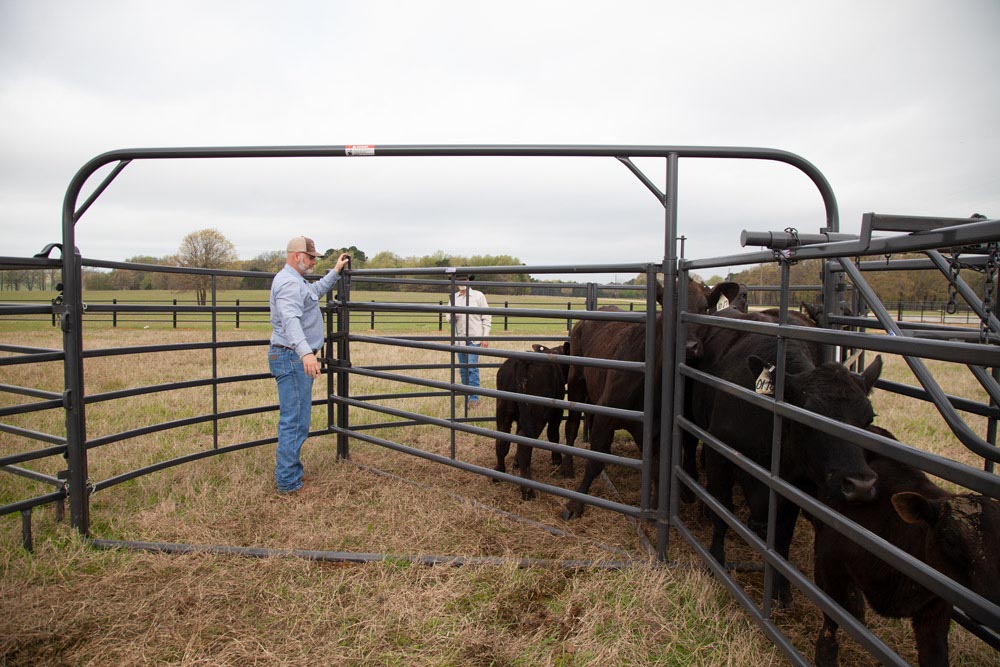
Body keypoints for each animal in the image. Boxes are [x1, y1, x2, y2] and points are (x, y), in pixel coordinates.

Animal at [494, 344, 572, 500]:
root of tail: (522, 361)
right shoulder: (557, 413)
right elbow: (553, 434)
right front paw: (556, 460)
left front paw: (516, 463)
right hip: (536, 415)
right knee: (525, 443)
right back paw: (528, 491)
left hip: (504, 412)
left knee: (503, 440)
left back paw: (499, 473)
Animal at [564, 280, 744, 520]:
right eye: (666, 305)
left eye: (705, 307)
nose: (689, 347)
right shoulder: (606, 414)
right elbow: (595, 461)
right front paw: (576, 502)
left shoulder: (657, 430)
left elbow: (658, 468)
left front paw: (655, 506)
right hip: (576, 380)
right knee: (572, 425)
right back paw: (567, 467)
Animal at [692, 314, 880, 604]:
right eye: (809, 417)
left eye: (868, 419)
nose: (860, 485)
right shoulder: (718, 455)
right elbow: (722, 511)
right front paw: (716, 561)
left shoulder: (795, 483)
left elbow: (783, 535)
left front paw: (781, 588)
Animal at [812, 428, 1000, 667]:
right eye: (949, 540)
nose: (992, 601)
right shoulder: (831, 558)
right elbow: (831, 614)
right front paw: (825, 654)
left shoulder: (937, 606)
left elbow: (935, 654)